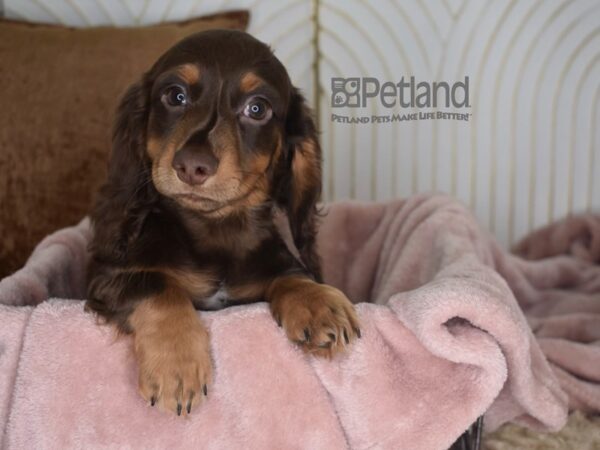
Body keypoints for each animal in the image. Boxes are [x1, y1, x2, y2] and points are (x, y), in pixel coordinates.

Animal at [88, 29, 360, 416]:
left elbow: (290, 276)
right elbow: (158, 286)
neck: (214, 229)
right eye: (175, 96)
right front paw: (177, 366)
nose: (192, 166)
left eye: (257, 108)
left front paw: (320, 304)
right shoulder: (108, 278)